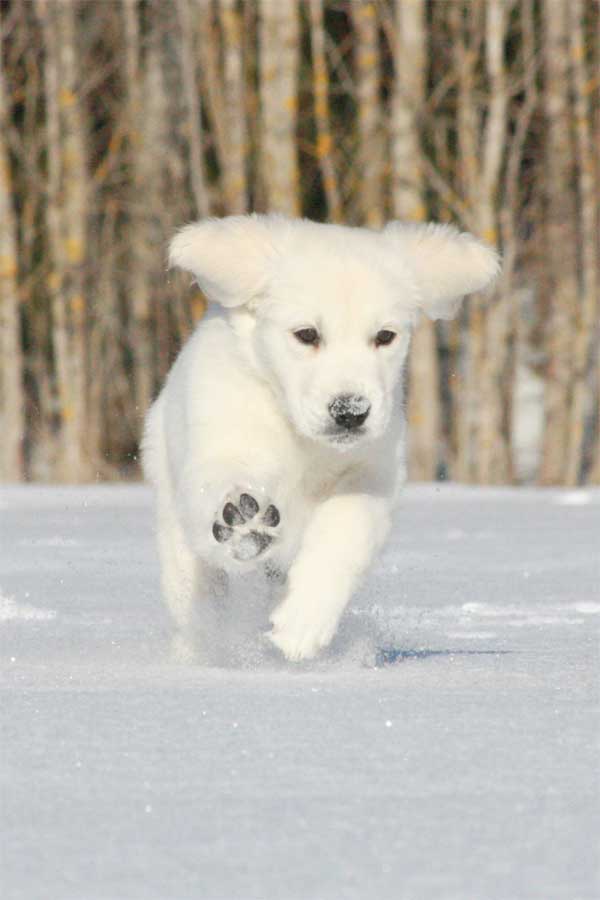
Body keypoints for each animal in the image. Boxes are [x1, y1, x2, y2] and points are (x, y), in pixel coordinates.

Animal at [143, 213, 500, 660]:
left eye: (385, 336)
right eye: (307, 334)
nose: (350, 412)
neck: (300, 435)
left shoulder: (373, 473)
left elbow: (344, 530)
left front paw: (302, 623)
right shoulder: (222, 439)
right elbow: (224, 480)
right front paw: (243, 521)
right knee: (198, 594)